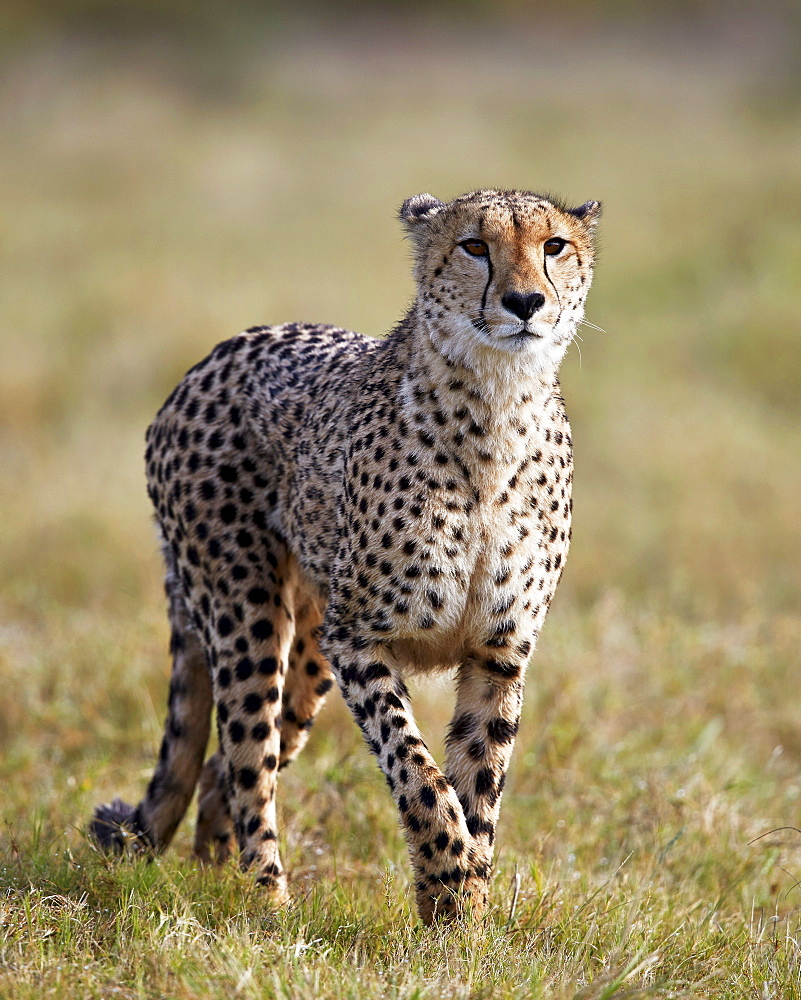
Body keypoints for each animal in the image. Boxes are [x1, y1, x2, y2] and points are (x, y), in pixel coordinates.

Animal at [90, 188, 596, 920]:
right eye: (475, 246)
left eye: (554, 245)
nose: (525, 301)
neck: (497, 408)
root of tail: (215, 354)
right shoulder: (359, 637)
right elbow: (419, 773)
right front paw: (448, 879)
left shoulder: (498, 651)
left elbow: (479, 785)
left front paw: (466, 919)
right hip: (248, 617)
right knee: (246, 761)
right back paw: (269, 908)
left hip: (307, 655)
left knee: (227, 767)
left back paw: (215, 878)